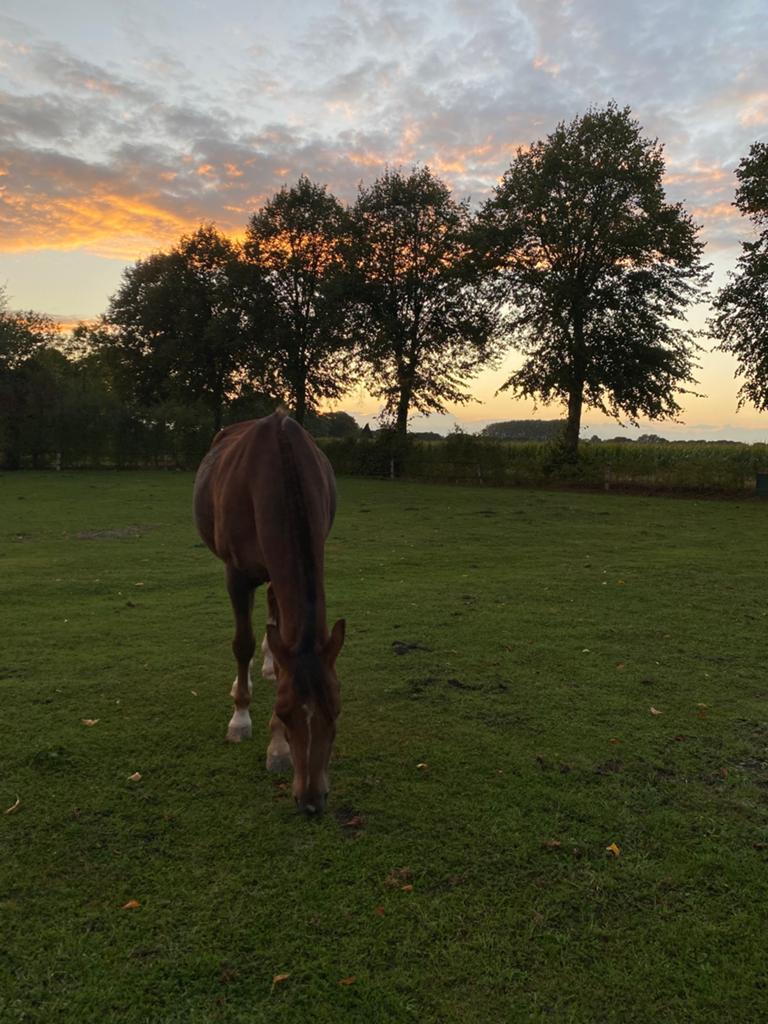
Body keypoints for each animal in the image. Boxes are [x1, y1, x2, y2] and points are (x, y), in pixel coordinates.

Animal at [193, 410, 345, 815]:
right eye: (287, 710)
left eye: (336, 711)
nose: (311, 802)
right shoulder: (236, 574)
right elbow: (241, 644)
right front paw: (241, 719)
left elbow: (280, 650)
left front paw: (275, 747)